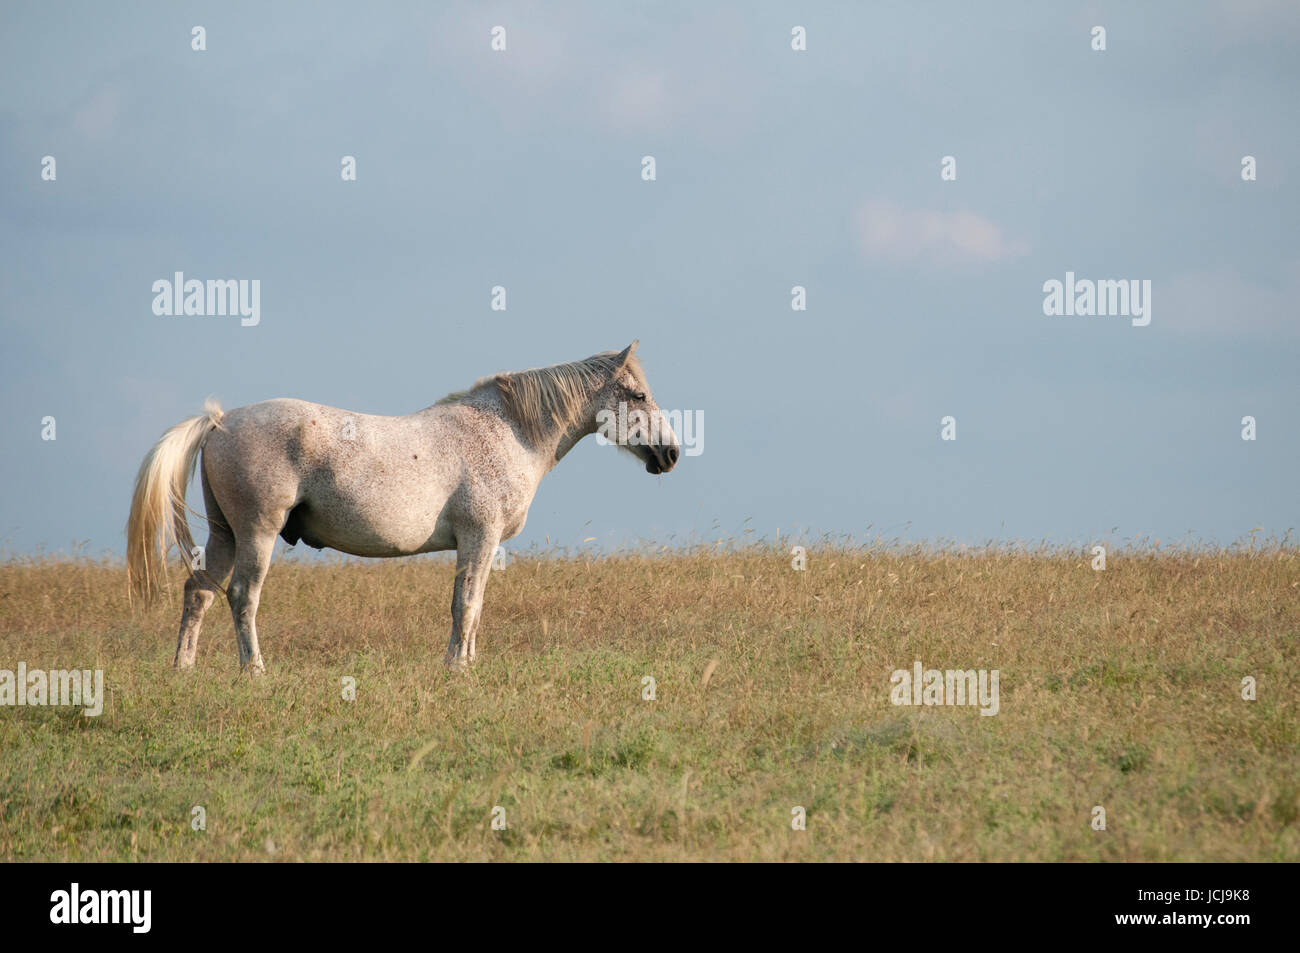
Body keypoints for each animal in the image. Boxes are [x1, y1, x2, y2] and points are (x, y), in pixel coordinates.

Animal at [124, 340, 681, 670]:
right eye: (636, 395)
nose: (671, 453)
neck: (507, 431)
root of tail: (220, 421)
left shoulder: (485, 546)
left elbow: (475, 605)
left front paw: (468, 663)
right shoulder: (478, 538)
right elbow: (465, 604)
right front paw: (456, 669)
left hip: (225, 535)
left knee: (199, 593)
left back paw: (184, 668)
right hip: (256, 535)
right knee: (242, 596)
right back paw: (254, 671)